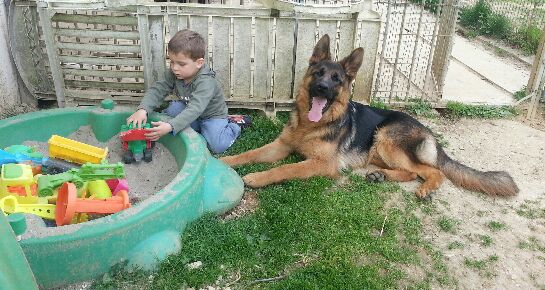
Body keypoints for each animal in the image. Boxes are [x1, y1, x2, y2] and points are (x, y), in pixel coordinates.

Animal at [221, 33, 520, 197]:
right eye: (318, 73)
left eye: (337, 80)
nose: (322, 88)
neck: (310, 125)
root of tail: (426, 130)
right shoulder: (281, 146)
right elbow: (250, 153)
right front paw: (224, 161)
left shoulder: (322, 164)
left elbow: (285, 168)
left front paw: (257, 177)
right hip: (378, 150)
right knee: (411, 172)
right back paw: (381, 176)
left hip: (386, 139)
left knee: (430, 171)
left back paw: (426, 188)